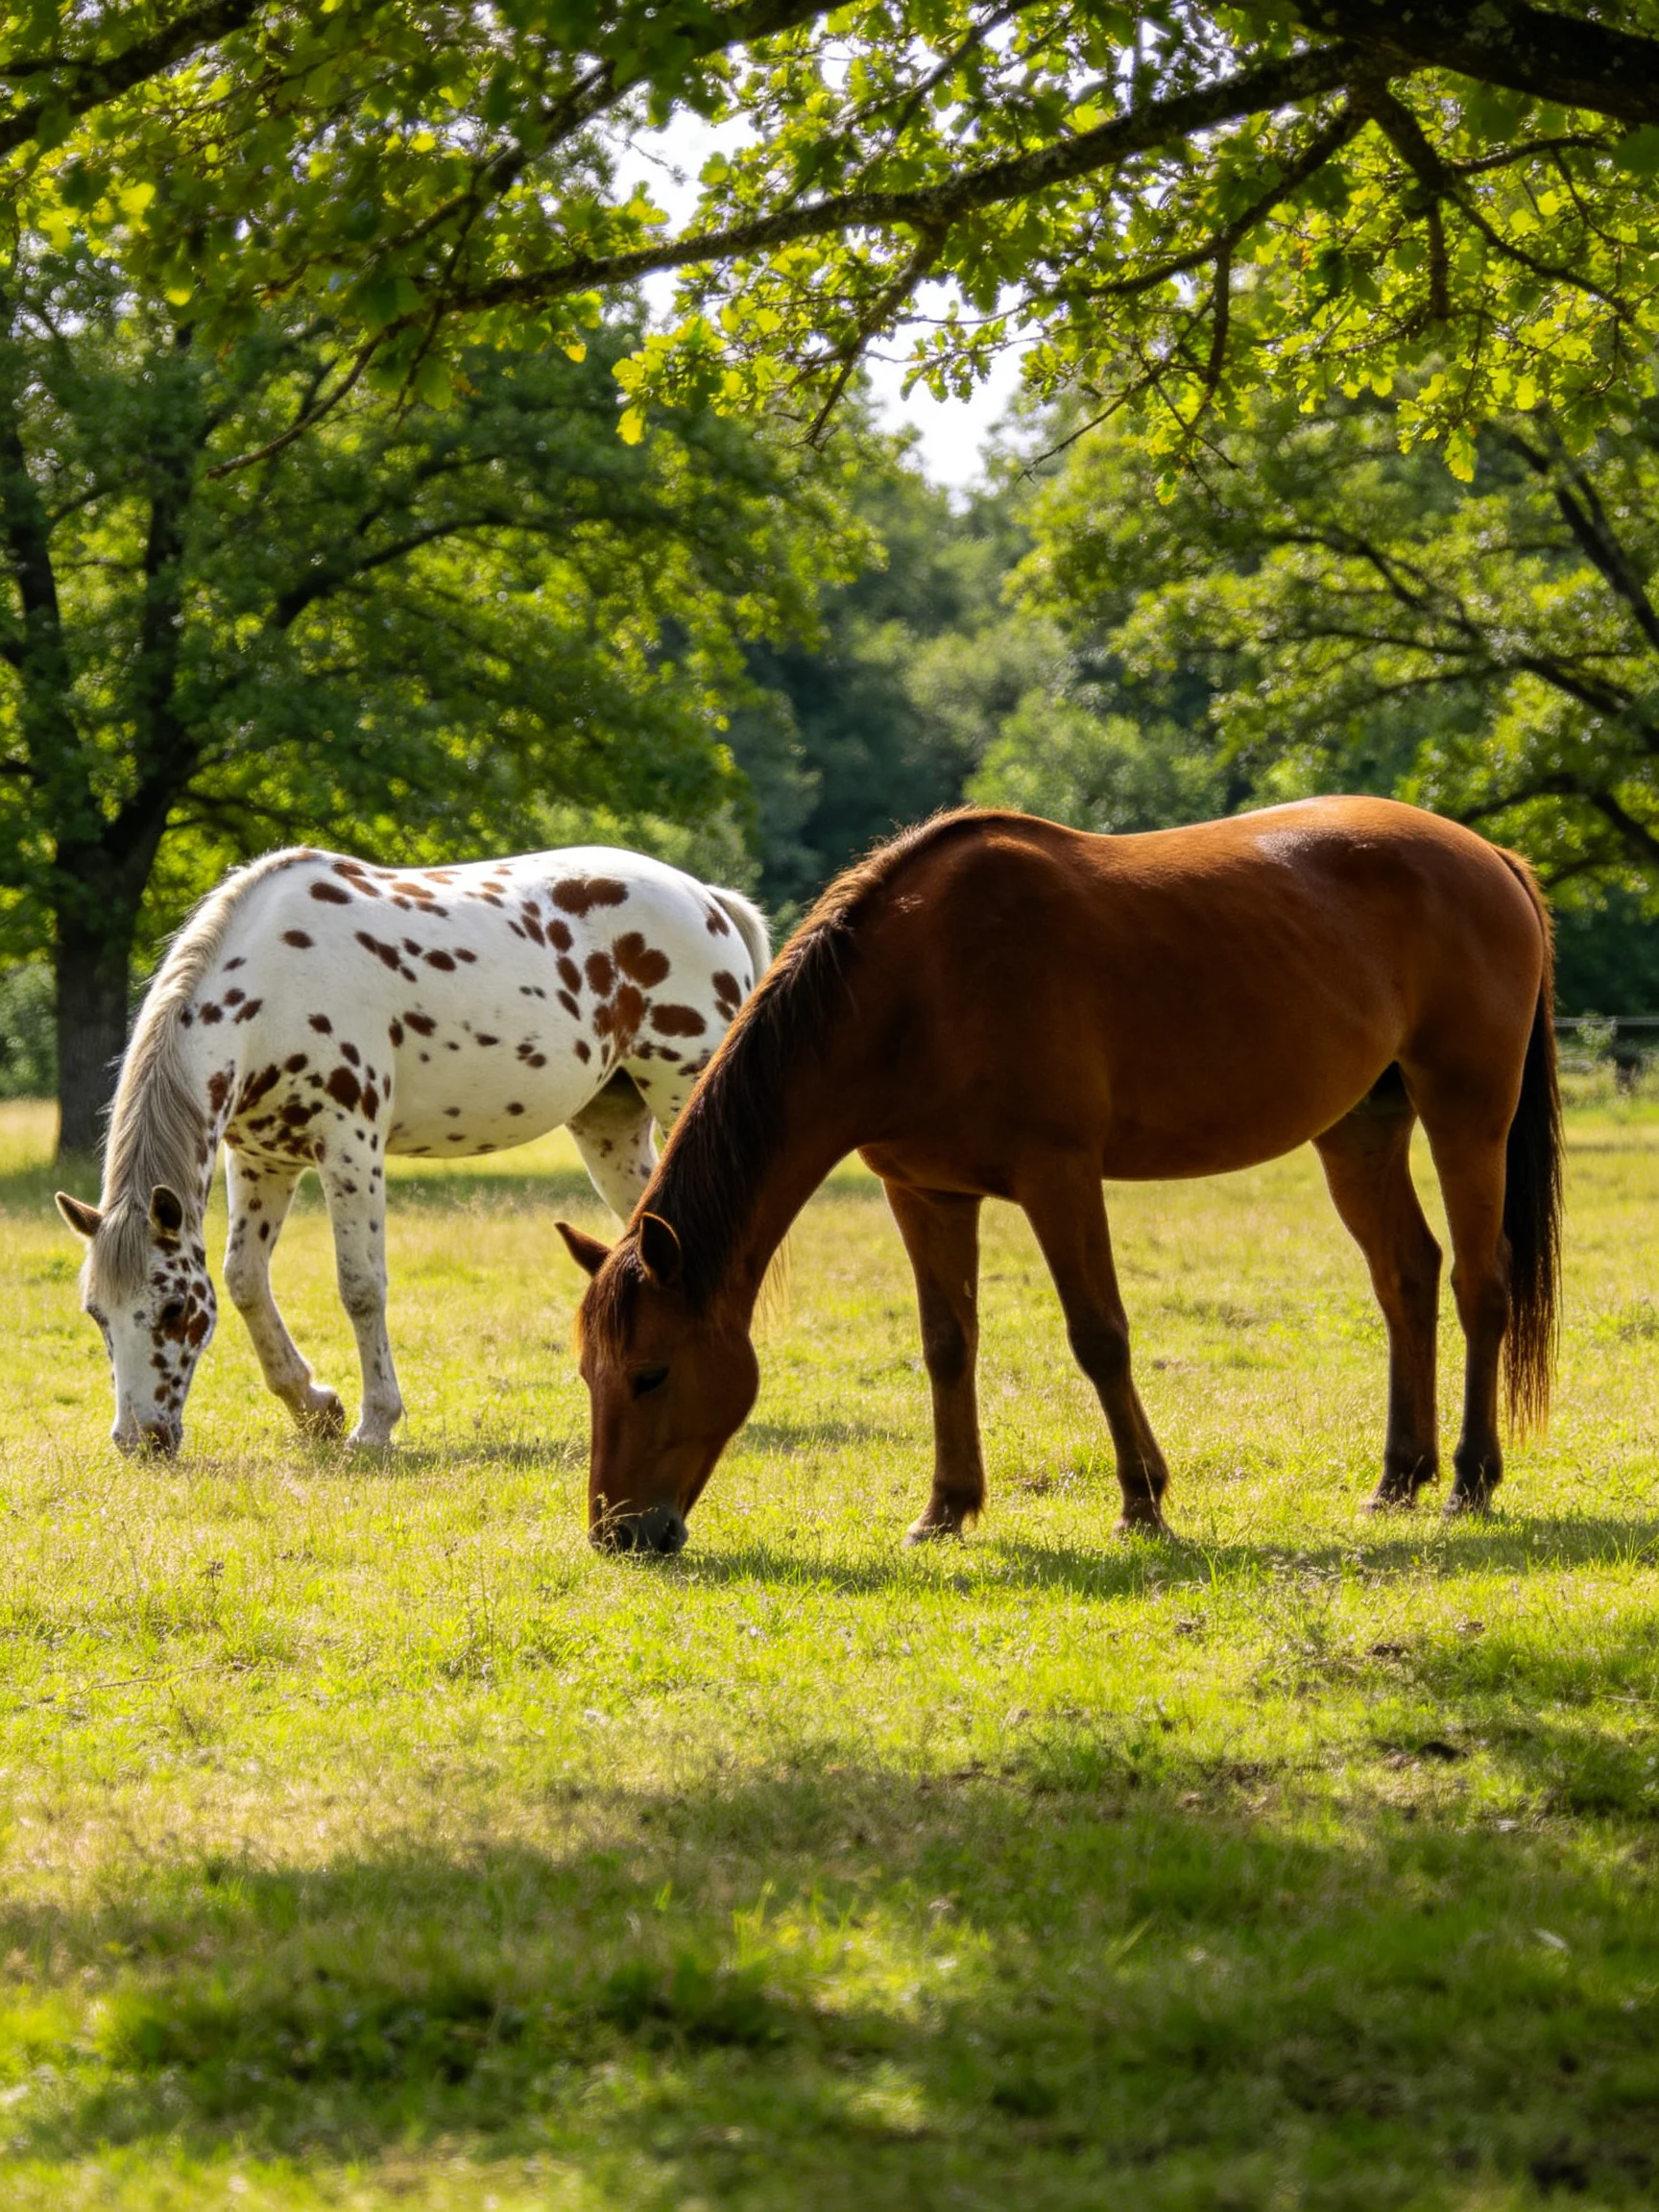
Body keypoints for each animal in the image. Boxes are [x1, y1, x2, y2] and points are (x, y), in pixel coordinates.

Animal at [56, 845, 769, 1455]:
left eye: (173, 1309)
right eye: (97, 1313)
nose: (138, 1440)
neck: (271, 986)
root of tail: (705, 898)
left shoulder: (349, 1146)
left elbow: (360, 1286)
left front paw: (374, 1425)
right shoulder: (262, 1159)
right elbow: (244, 1280)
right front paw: (314, 1407)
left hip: (686, 1094)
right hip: (609, 1126)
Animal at [556, 798, 1562, 1556]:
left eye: (649, 1373)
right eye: (586, 1374)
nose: (617, 1535)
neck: (917, 987)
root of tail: (1489, 856)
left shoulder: (1060, 1177)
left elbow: (1099, 1336)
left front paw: (1143, 1502)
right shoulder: (924, 1193)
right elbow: (947, 1345)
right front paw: (946, 1509)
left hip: (1467, 1113)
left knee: (1480, 1285)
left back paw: (1470, 1479)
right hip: (1359, 1130)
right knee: (1406, 1277)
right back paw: (1399, 1477)